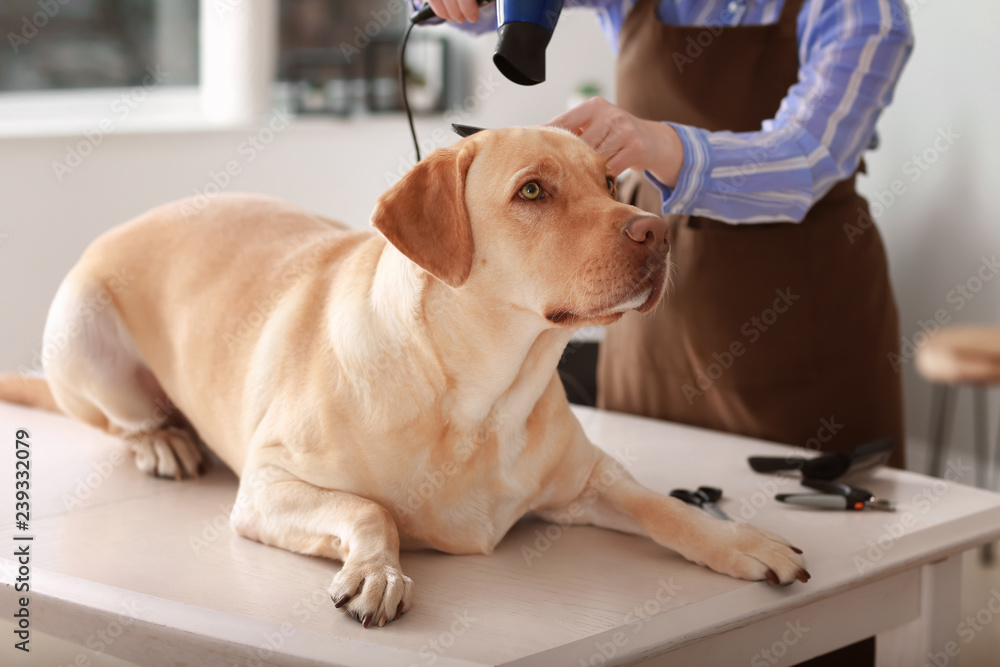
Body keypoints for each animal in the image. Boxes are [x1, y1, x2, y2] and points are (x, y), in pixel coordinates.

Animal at [0, 126, 808, 632]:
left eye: (613, 182)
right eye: (533, 191)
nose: (658, 233)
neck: (482, 398)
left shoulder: (590, 479)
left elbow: (665, 507)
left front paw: (744, 540)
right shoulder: (266, 485)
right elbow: (369, 511)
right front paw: (378, 573)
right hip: (83, 332)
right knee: (121, 418)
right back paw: (163, 439)